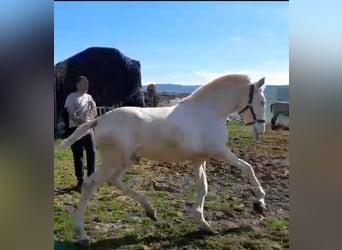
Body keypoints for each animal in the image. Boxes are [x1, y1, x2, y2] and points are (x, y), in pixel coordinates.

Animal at [58, 73, 268, 245]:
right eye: (263, 101)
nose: (260, 130)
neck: (207, 112)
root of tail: (98, 119)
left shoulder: (199, 159)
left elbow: (203, 187)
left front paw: (203, 224)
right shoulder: (219, 151)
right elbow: (247, 167)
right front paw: (260, 202)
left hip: (126, 160)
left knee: (113, 180)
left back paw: (150, 211)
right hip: (114, 160)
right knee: (90, 184)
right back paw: (82, 235)